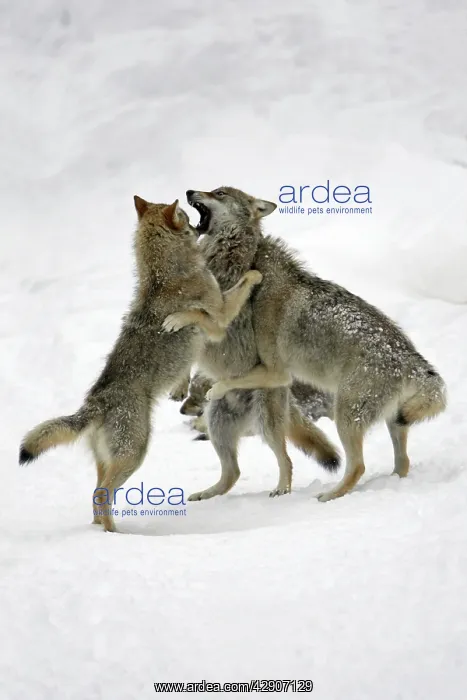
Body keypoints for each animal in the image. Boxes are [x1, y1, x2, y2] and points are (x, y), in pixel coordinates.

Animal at [18, 195, 262, 531]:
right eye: (185, 215)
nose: (196, 223)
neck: (166, 273)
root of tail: (94, 403)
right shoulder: (220, 318)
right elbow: (242, 283)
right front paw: (256, 274)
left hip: (111, 460)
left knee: (96, 497)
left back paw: (103, 531)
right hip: (134, 455)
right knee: (101, 496)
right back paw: (114, 535)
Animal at [166, 186, 447, 502]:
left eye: (220, 193)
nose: (189, 191)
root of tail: (416, 363)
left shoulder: (275, 371)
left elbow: (208, 341)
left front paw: (212, 384)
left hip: (338, 416)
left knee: (349, 465)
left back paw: (326, 495)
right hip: (388, 420)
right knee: (402, 460)